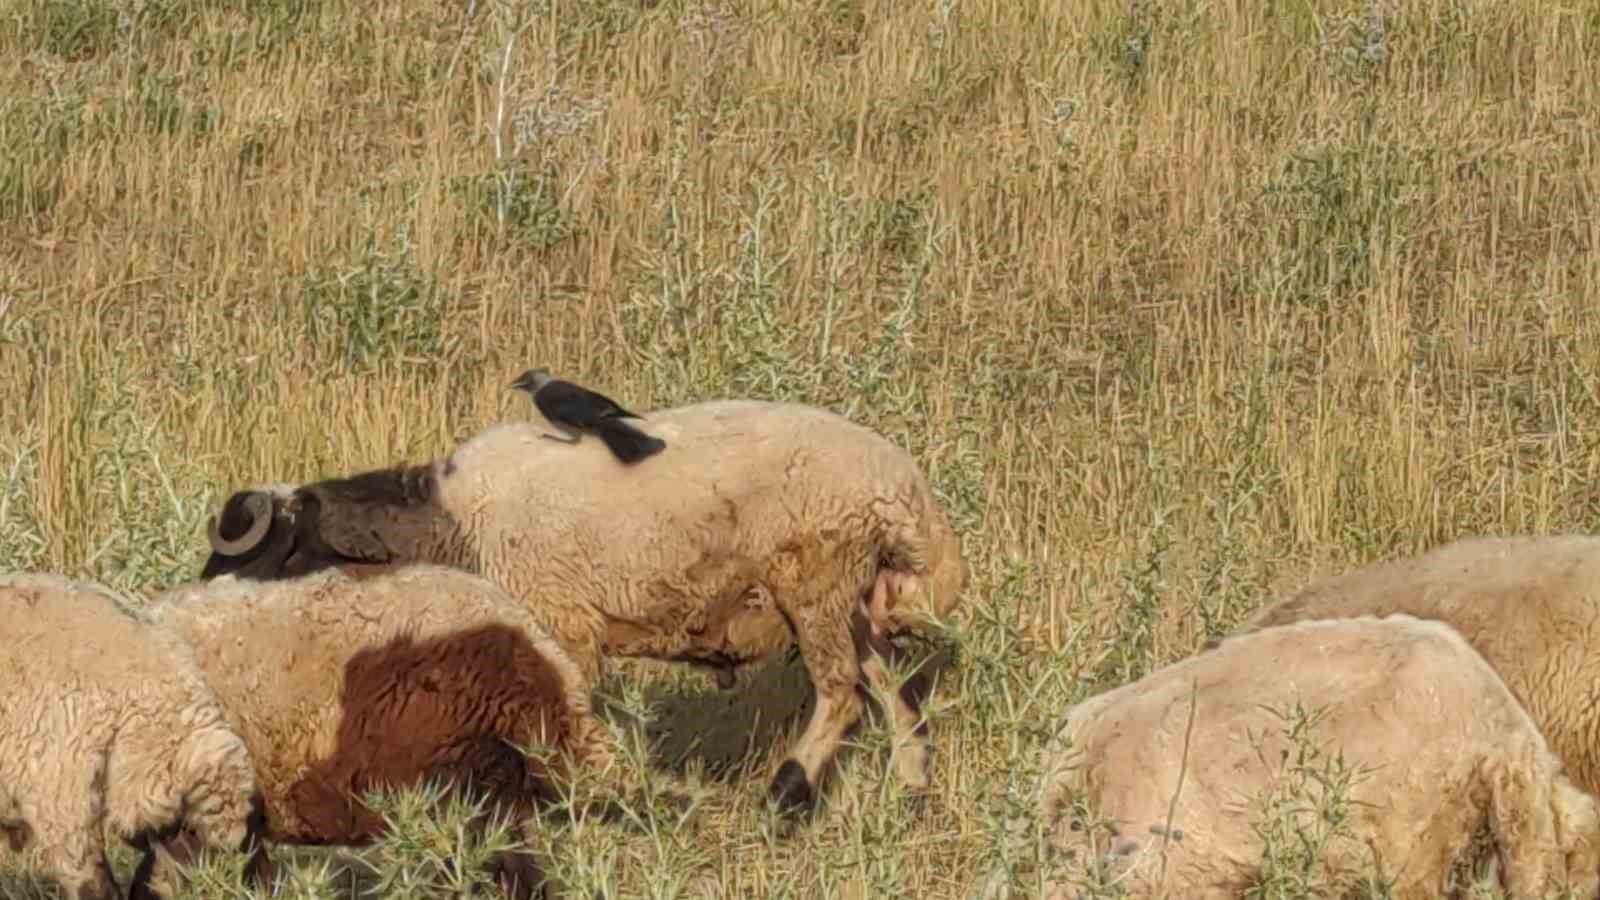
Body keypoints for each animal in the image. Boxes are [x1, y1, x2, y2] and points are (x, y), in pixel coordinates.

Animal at [193, 398, 966, 813]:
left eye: (261, 552)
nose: (193, 608)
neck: (451, 521)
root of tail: (908, 492)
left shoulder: (562, 625)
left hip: (816, 581)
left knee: (840, 693)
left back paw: (786, 794)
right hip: (857, 602)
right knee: (893, 692)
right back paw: (910, 789)